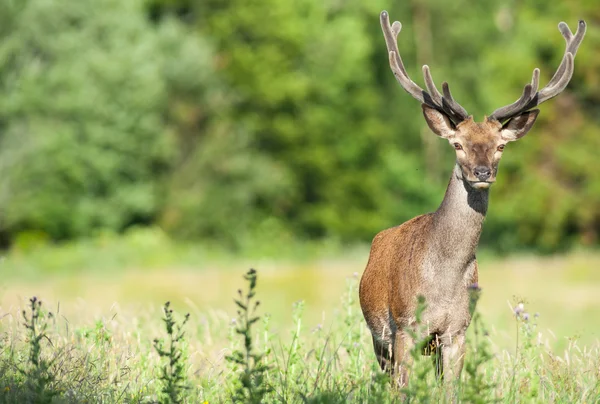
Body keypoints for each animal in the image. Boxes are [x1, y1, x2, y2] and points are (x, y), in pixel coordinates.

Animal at [358, 11, 584, 386]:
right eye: (457, 144)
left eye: (501, 145)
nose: (482, 172)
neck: (443, 280)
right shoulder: (404, 325)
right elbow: (403, 390)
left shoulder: (457, 330)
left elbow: (452, 389)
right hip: (381, 337)